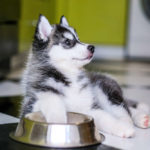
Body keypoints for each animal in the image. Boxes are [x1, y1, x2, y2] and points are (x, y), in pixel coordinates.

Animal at [21, 14, 150, 138]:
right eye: (68, 42)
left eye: (78, 39)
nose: (92, 47)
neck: (69, 75)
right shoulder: (31, 104)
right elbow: (52, 100)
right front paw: (59, 121)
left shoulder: (90, 108)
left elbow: (107, 118)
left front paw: (122, 128)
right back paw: (141, 118)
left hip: (105, 91)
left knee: (124, 109)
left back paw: (135, 118)